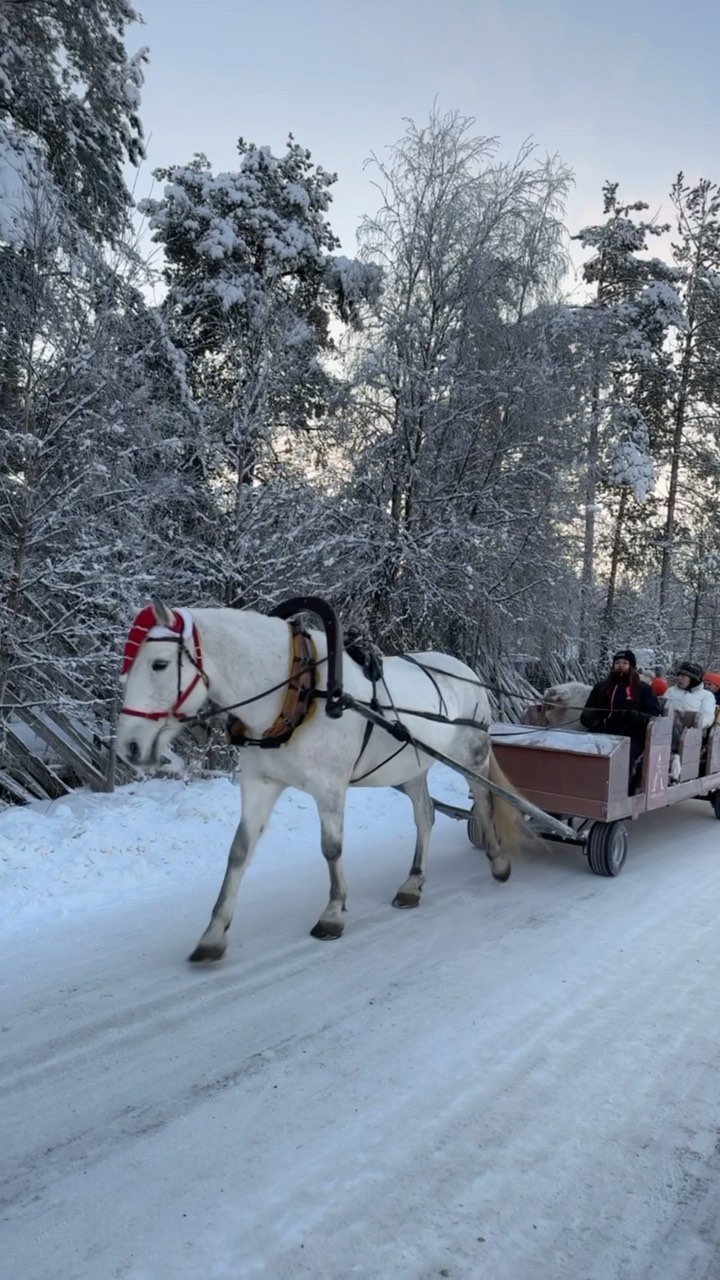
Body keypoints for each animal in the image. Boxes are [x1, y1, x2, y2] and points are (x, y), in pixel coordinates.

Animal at [116, 601, 520, 962]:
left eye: (159, 664)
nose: (129, 747)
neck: (299, 690)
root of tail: (465, 670)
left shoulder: (329, 787)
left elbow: (331, 848)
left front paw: (333, 913)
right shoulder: (260, 784)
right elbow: (239, 851)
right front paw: (214, 934)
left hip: (472, 757)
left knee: (484, 803)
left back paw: (499, 862)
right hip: (409, 768)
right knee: (425, 815)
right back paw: (413, 883)